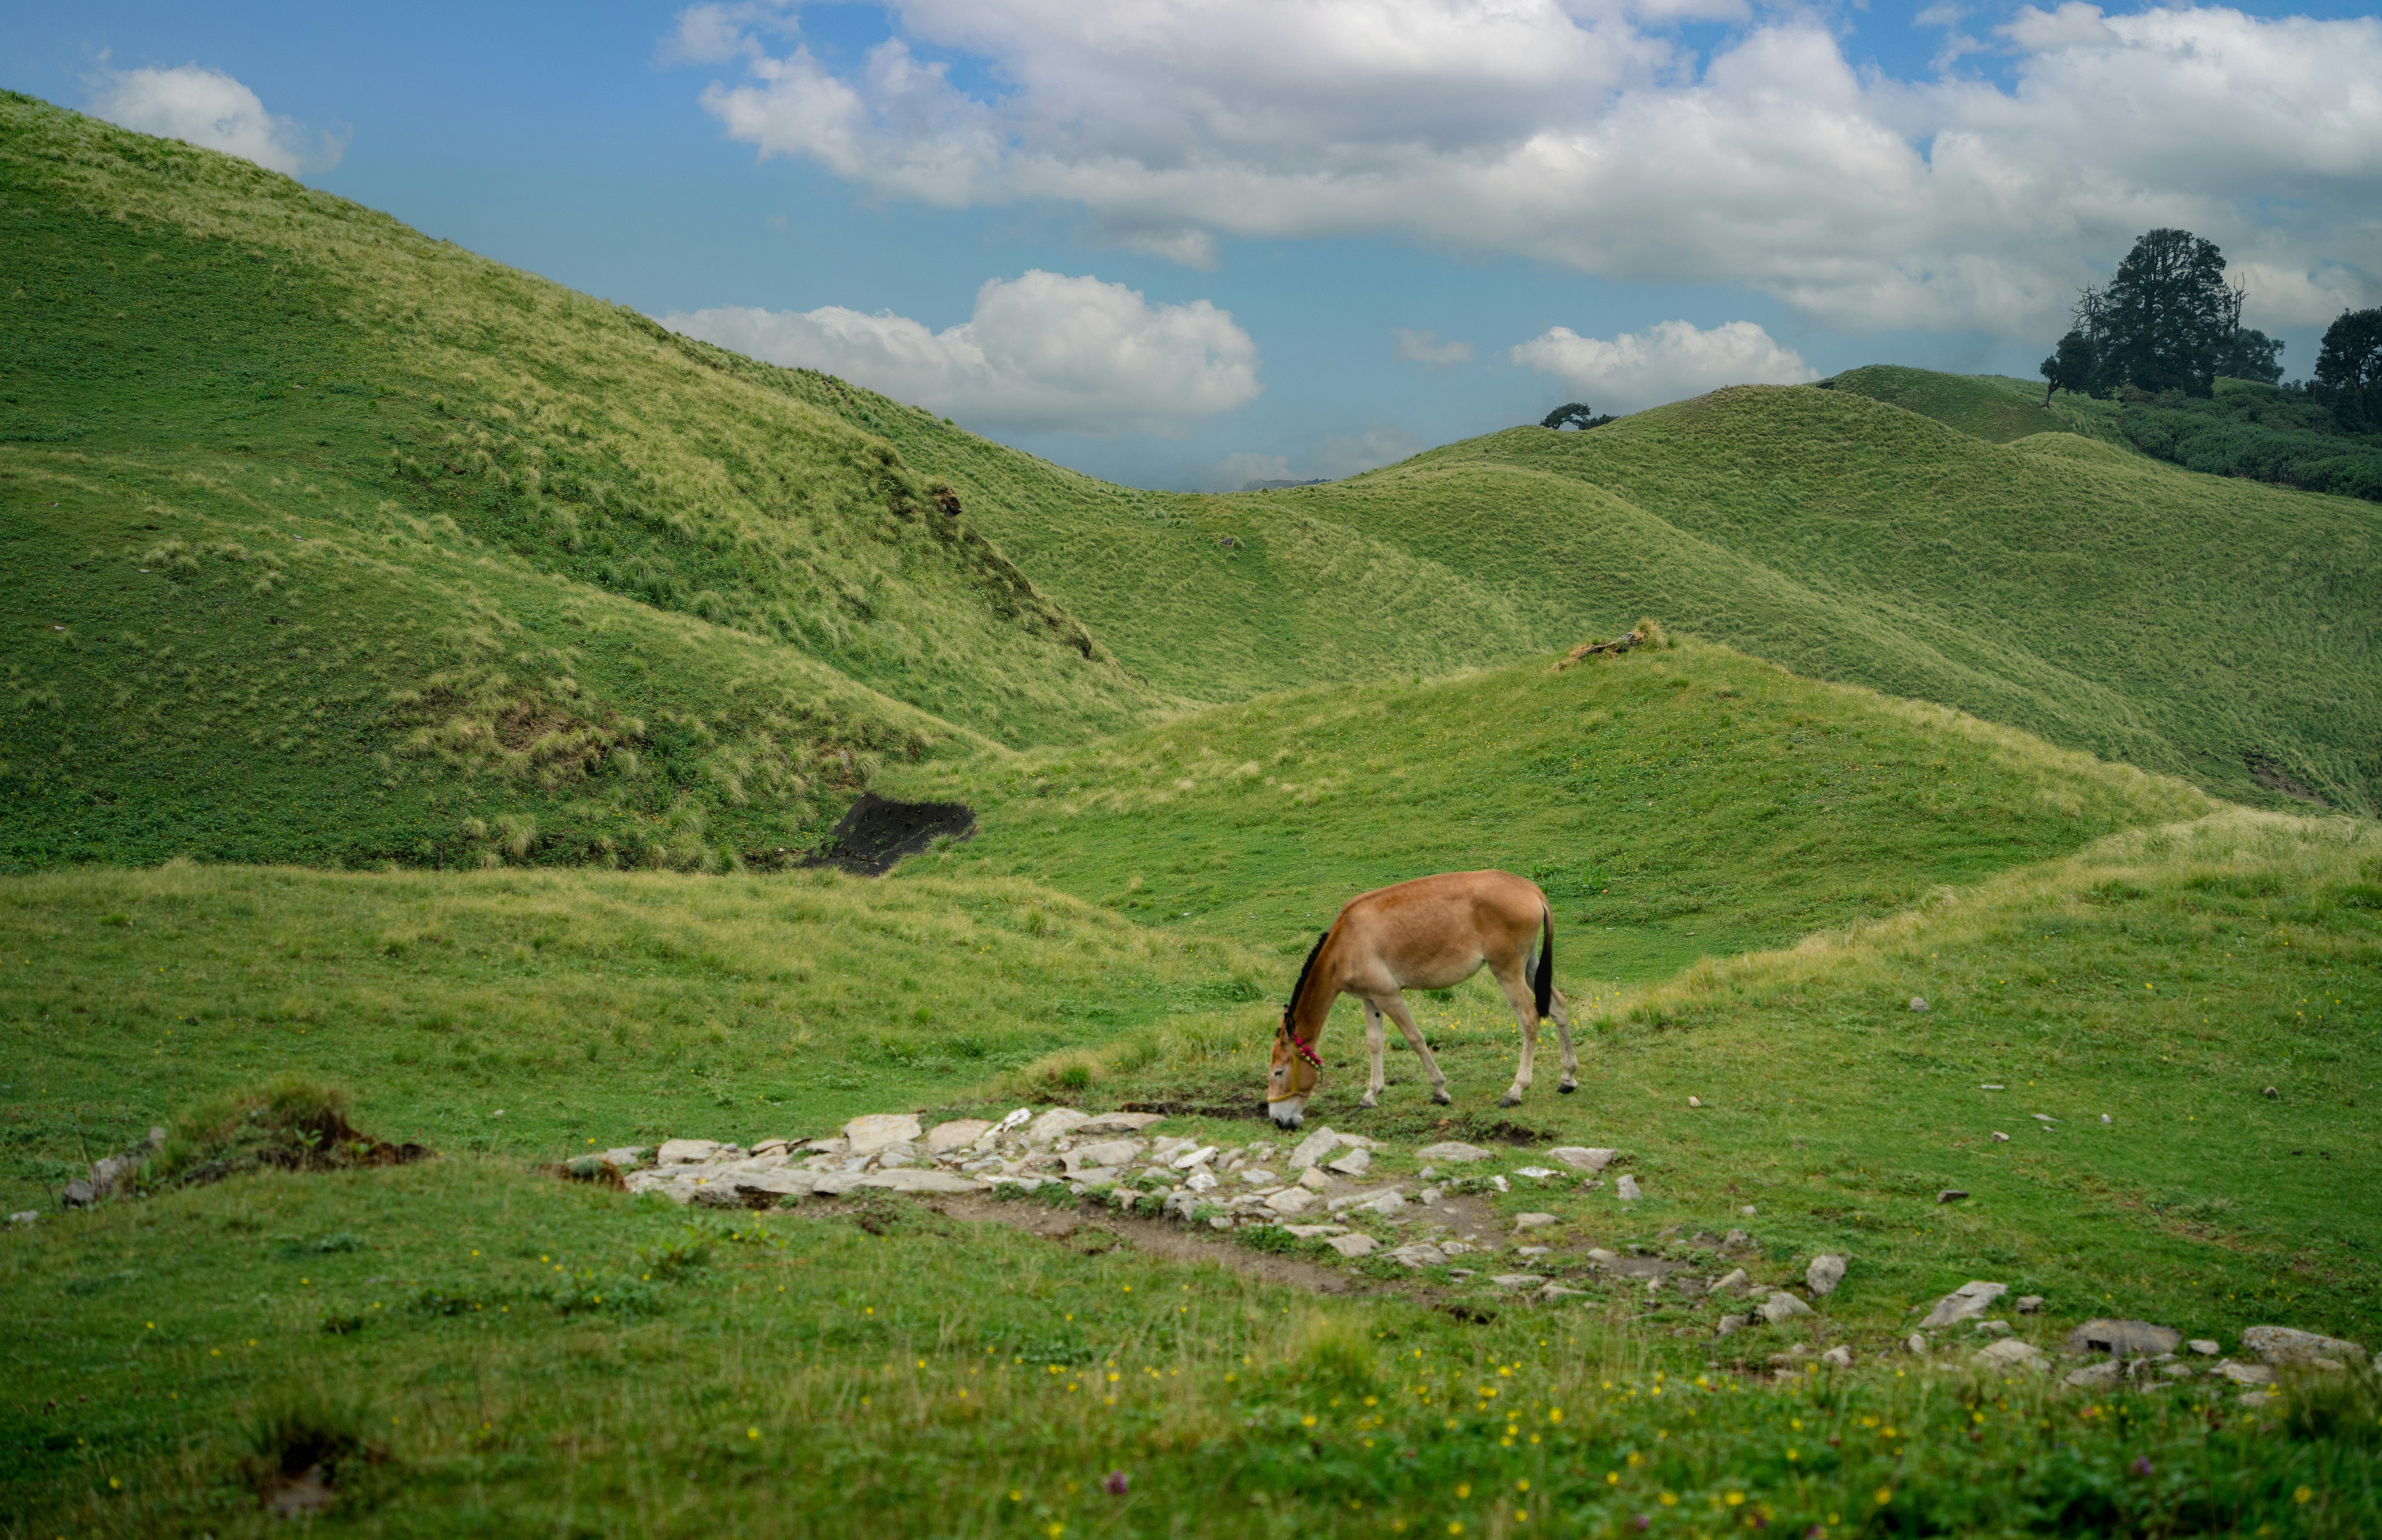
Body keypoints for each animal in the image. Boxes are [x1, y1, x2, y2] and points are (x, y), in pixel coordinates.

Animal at [1266, 870, 1576, 1129]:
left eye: (1279, 1072)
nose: (1279, 1120)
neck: (1347, 943)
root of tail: (1532, 889)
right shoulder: (1371, 999)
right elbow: (1375, 1043)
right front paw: (1371, 1095)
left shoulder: (1389, 996)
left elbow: (1415, 1038)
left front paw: (1439, 1090)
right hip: (1530, 967)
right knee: (1559, 1008)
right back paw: (1568, 1078)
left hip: (1507, 970)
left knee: (1529, 1019)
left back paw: (1516, 1090)